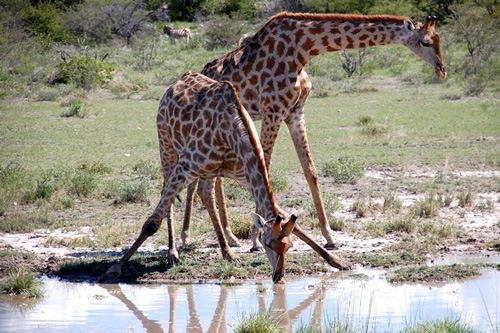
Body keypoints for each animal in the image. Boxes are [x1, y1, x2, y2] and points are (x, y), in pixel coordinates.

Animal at [96, 71, 348, 284]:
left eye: (288, 246)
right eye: (266, 243)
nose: (279, 278)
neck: (230, 131)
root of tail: (178, 80)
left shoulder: (245, 173)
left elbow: (284, 214)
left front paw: (337, 260)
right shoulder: (186, 166)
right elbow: (151, 223)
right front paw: (114, 269)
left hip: (208, 170)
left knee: (205, 194)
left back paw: (227, 252)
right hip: (167, 146)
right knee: (167, 196)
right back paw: (173, 252)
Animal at [182, 13, 448, 250]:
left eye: (439, 39)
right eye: (425, 42)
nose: (442, 69)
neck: (303, 50)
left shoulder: (295, 112)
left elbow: (310, 170)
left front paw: (330, 236)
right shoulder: (273, 110)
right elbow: (265, 168)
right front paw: (256, 239)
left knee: (213, 179)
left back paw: (229, 237)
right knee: (197, 177)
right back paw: (188, 237)